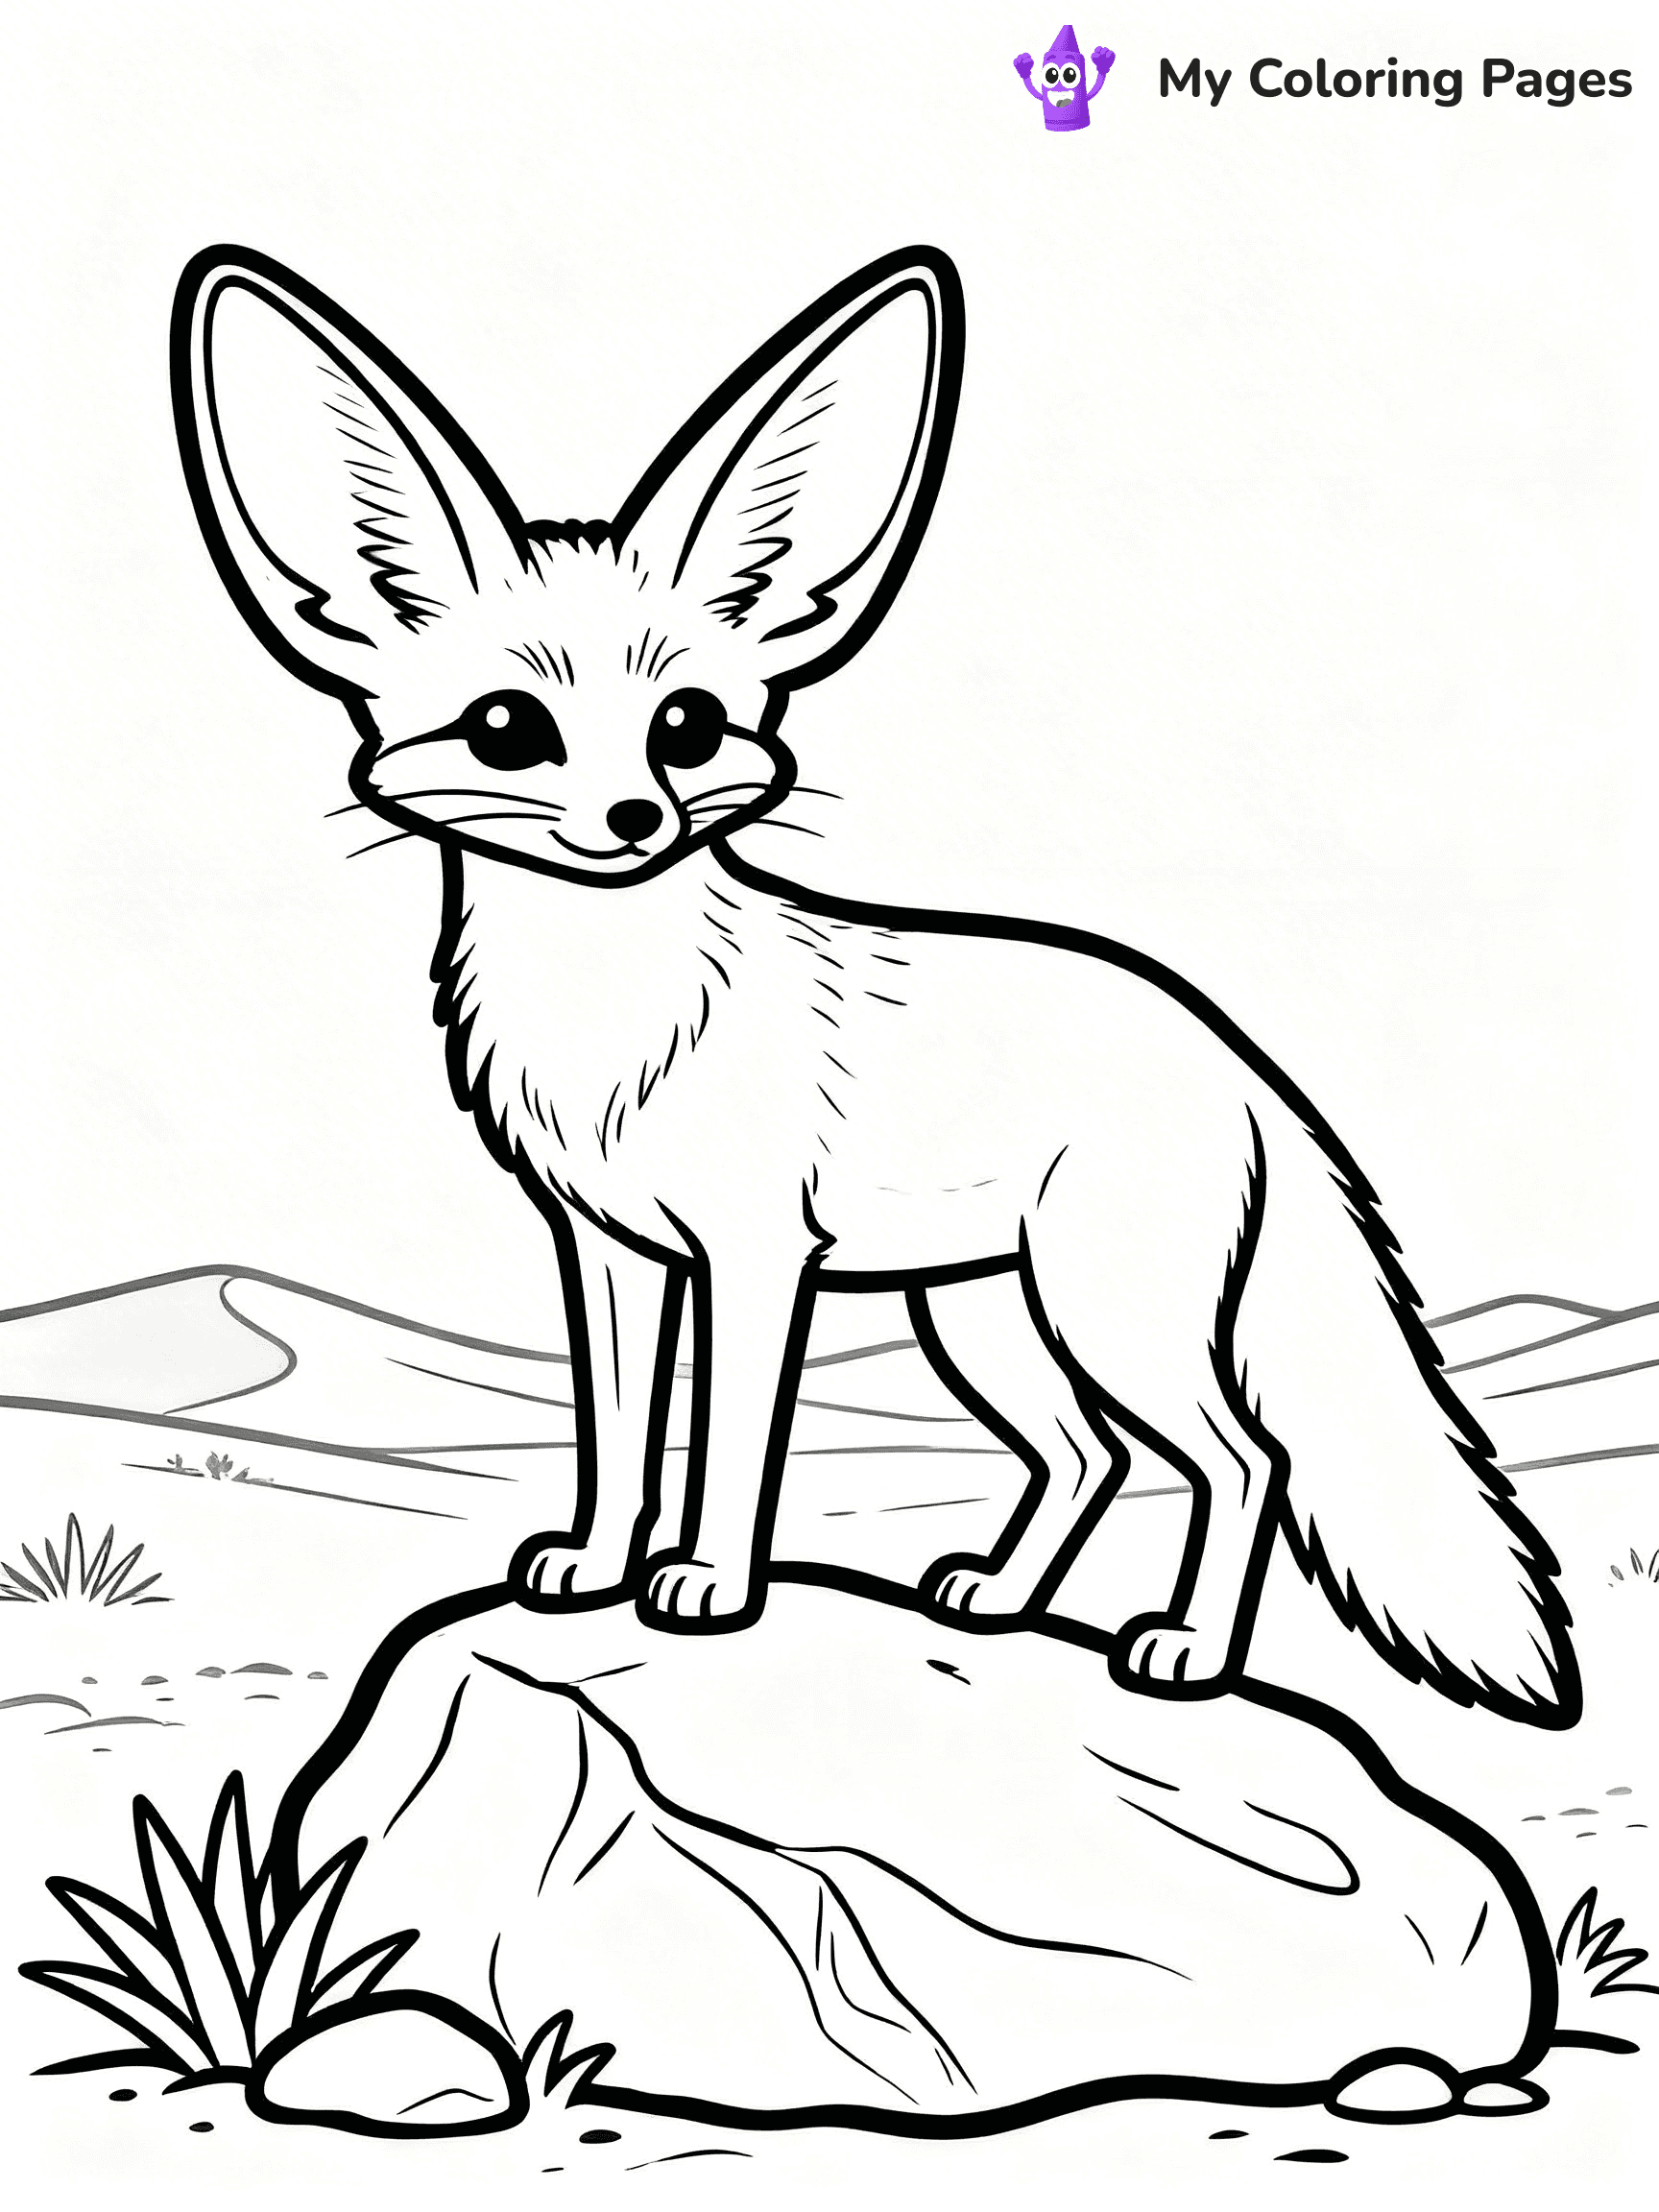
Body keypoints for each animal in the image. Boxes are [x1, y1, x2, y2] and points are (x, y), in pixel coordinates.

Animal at [171, 243, 1578, 1725]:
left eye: (688, 727)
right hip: (977, 1314)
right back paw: (998, 1597)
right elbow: (616, 1437)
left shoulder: (755, 1254)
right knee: (1088, 1454)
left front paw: (705, 1587)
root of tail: (1243, 1060)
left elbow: (734, 1447)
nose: (634, 821)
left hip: (1105, 1312)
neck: (614, 1019)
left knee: (1246, 1457)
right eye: (509, 729)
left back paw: (1185, 1654)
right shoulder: (608, 1249)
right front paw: (597, 1567)